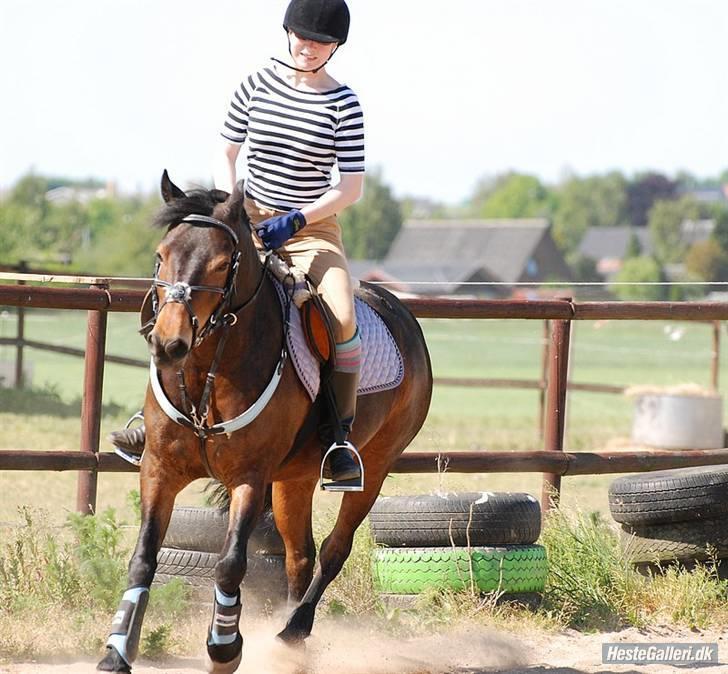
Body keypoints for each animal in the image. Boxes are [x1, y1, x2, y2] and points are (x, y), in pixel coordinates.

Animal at [99, 171, 436, 668]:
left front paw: (224, 646)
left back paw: (293, 630)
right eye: (161, 256)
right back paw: (289, 632)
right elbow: (143, 556)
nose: (168, 345)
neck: (208, 372)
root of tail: (402, 312)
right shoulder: (159, 468)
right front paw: (118, 648)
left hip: (375, 466)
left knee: (334, 549)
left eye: (222, 264)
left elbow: (230, 563)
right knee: (300, 556)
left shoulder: (249, 477)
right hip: (294, 478)